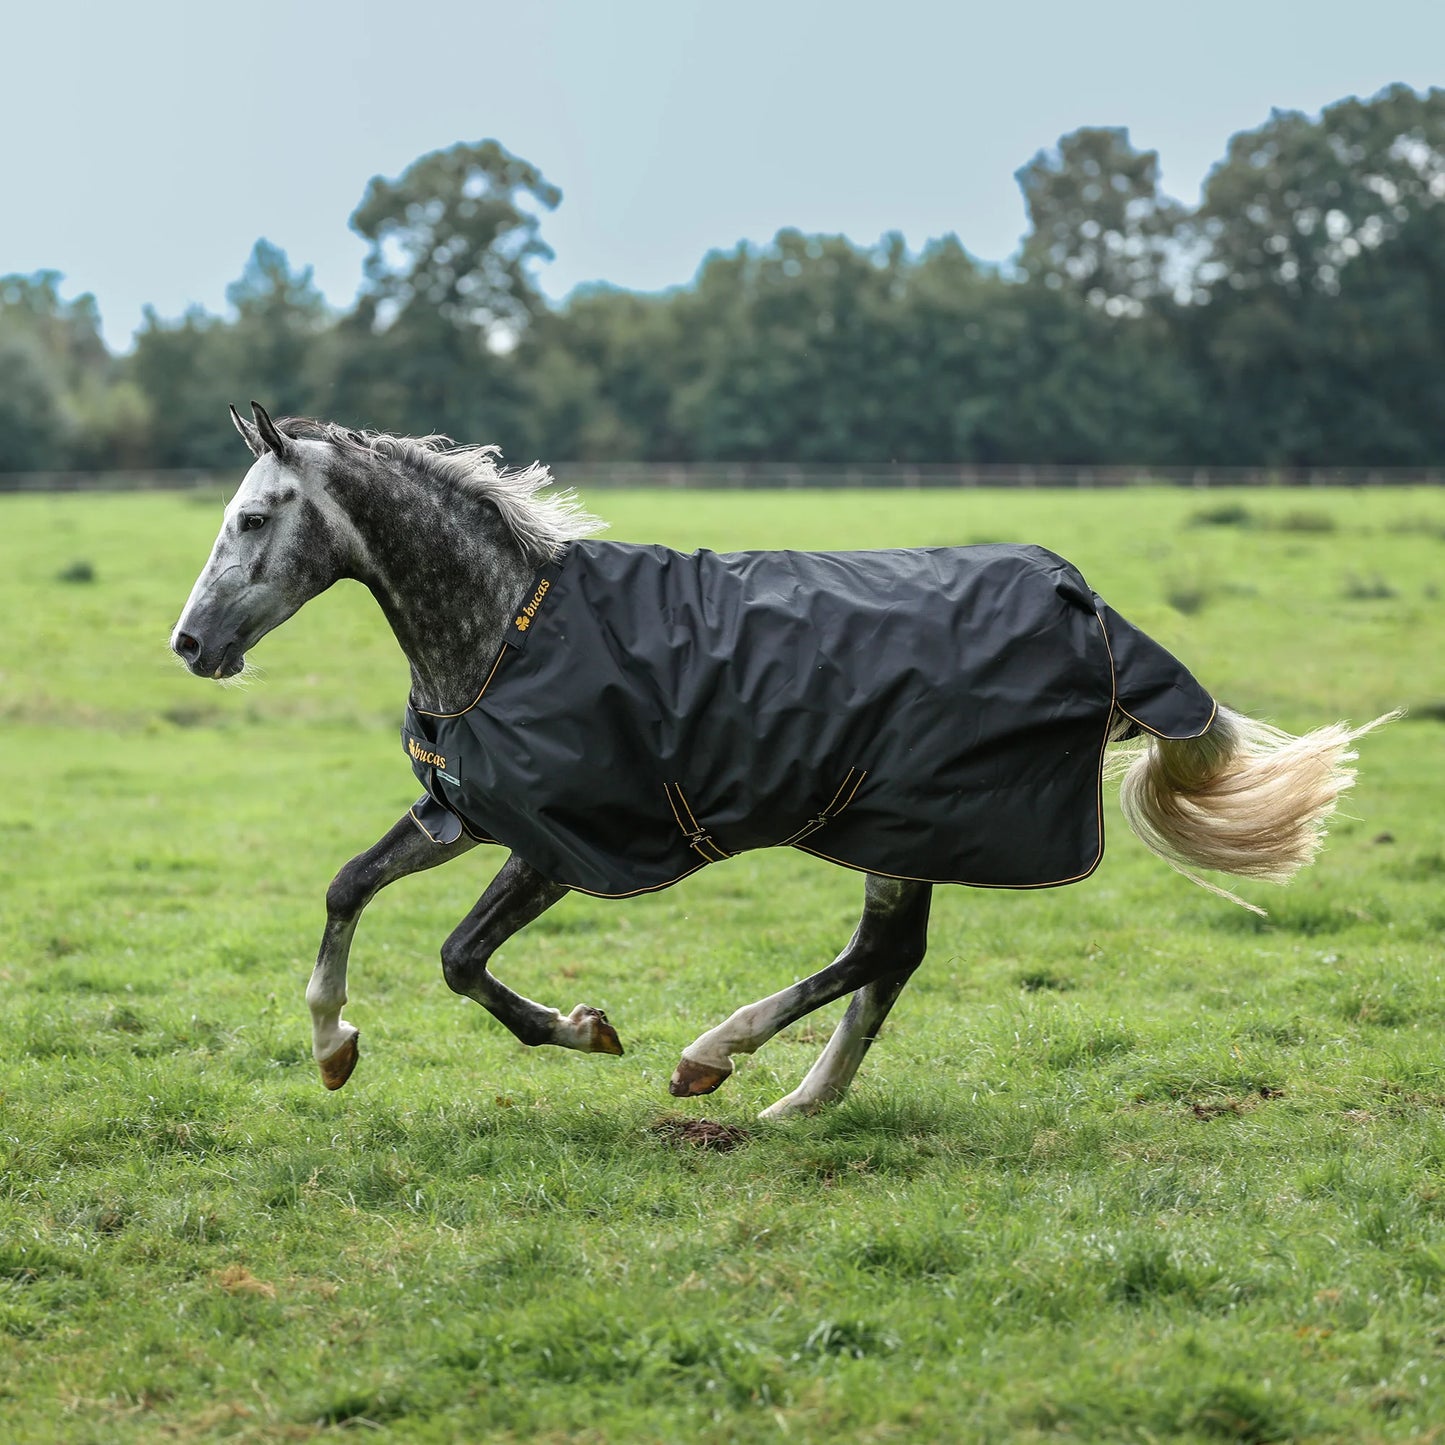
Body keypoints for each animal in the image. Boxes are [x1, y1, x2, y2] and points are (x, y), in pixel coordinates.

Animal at [171, 403, 1388, 1119]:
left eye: (254, 517)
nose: (191, 644)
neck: (505, 629)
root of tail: (1091, 611)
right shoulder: (467, 809)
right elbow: (348, 886)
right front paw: (333, 1046)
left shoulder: (563, 840)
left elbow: (461, 958)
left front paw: (585, 1028)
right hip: (901, 825)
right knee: (890, 960)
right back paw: (800, 1099)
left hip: (900, 819)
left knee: (880, 953)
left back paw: (715, 1056)